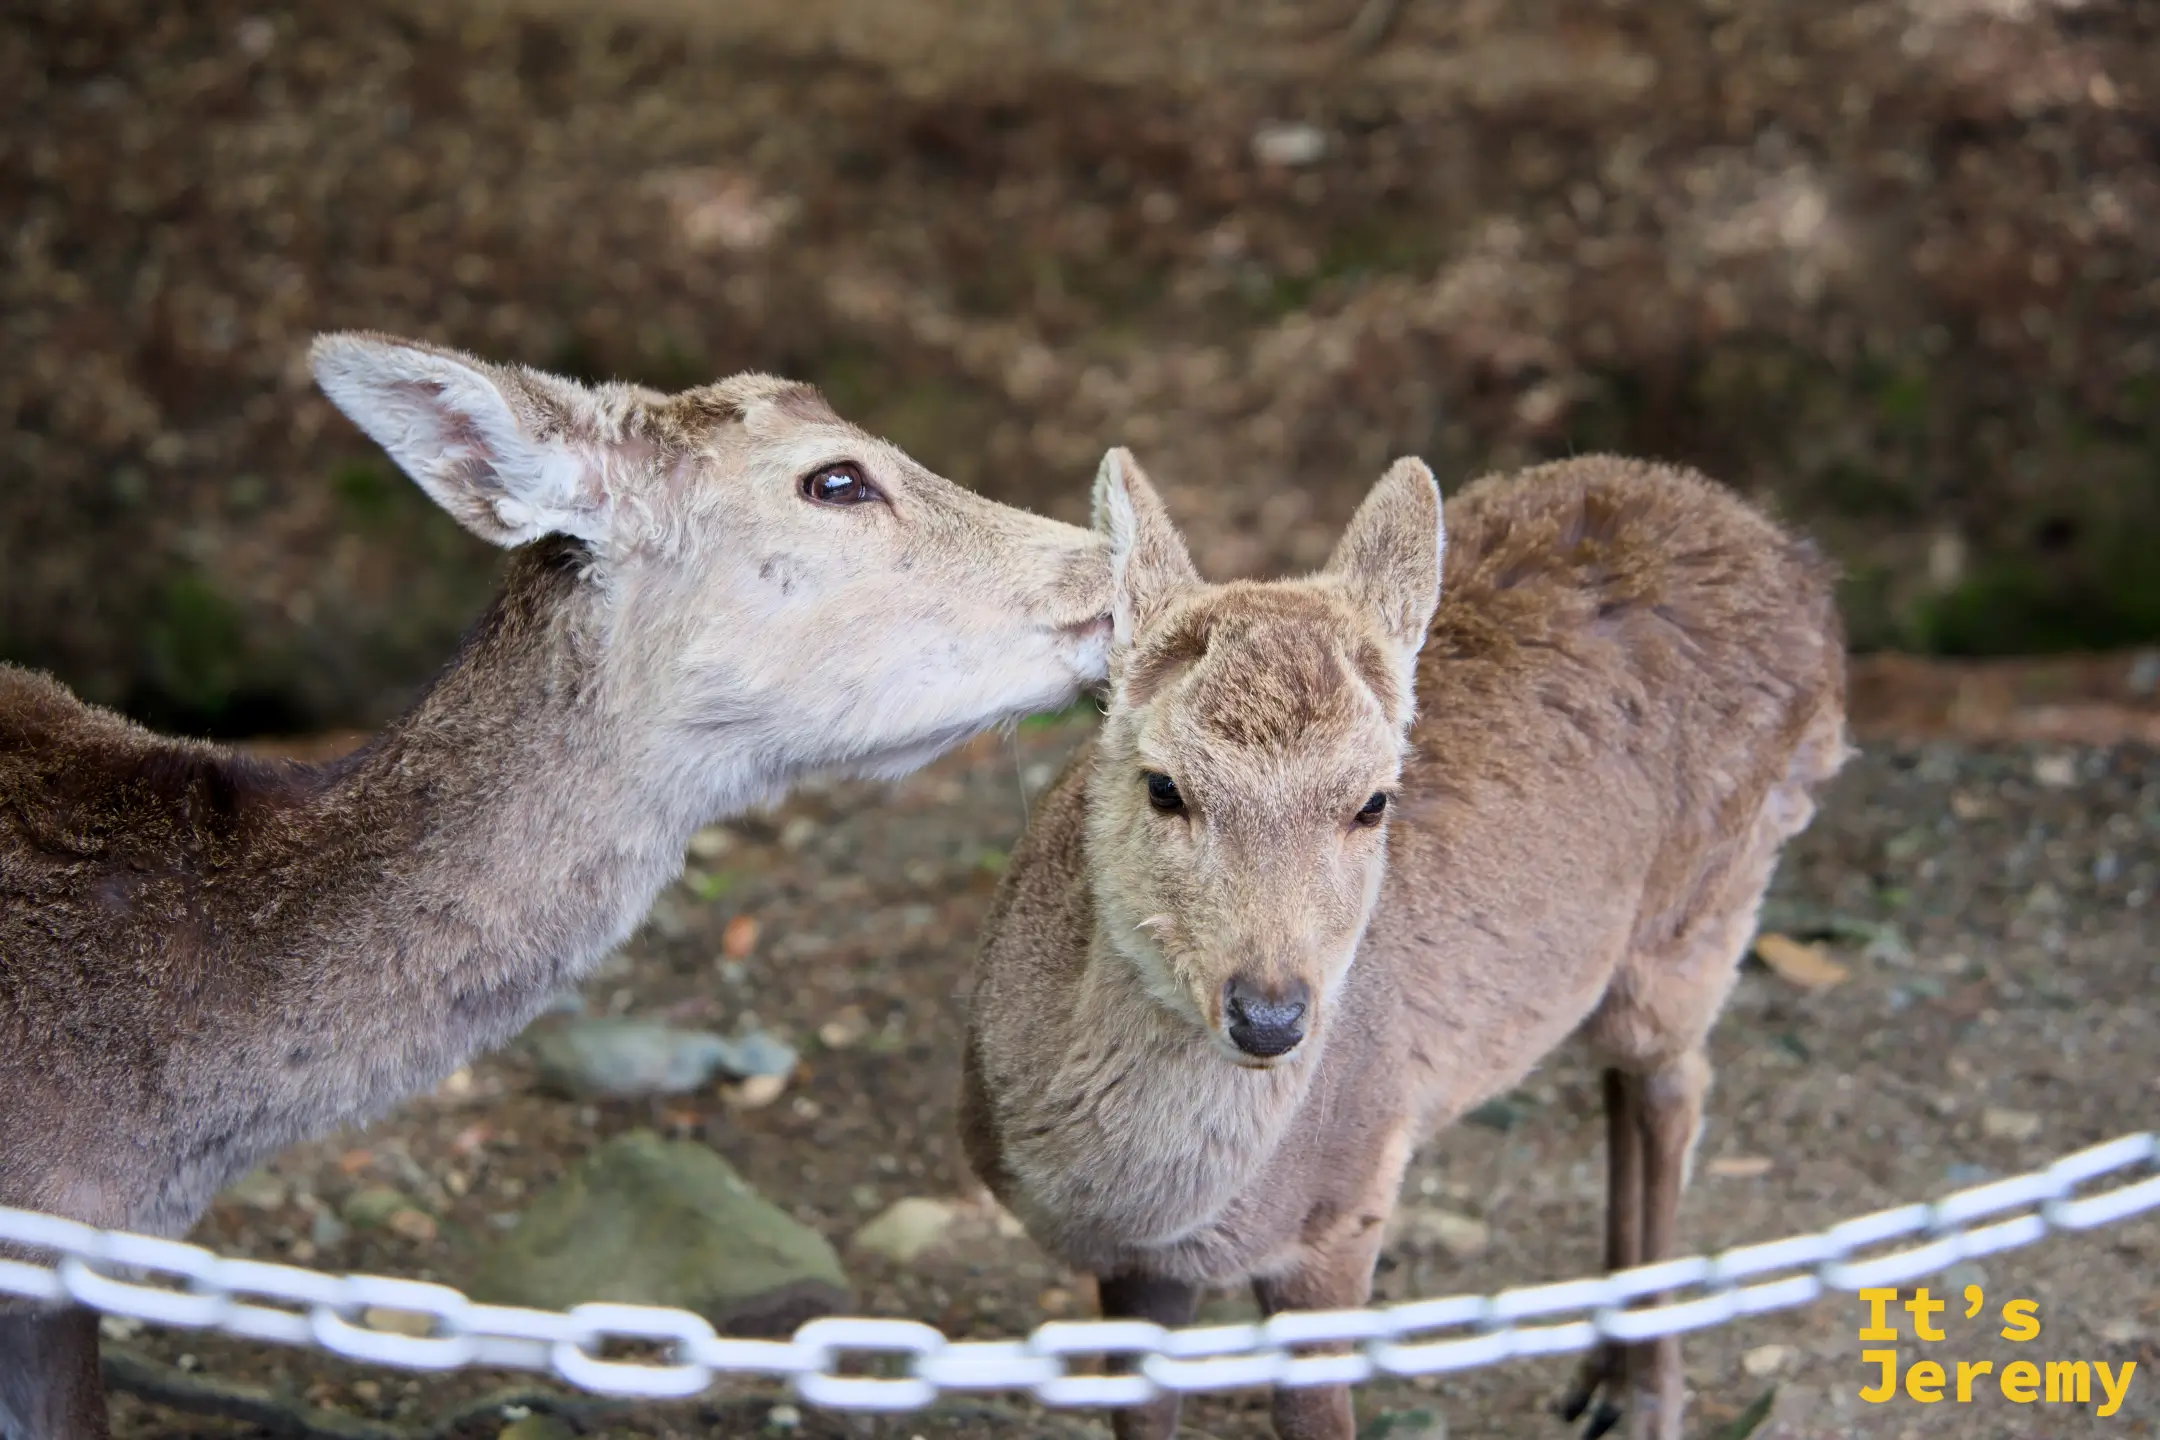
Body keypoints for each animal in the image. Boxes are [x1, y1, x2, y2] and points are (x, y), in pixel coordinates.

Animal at [960, 448, 1849, 1440]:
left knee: (1674, 1080)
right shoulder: (1138, 1273)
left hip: (1706, 907)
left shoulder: (1348, 1206)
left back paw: (1645, 1395)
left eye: (1374, 801)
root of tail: (1789, 554)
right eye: (1163, 786)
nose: (1270, 1015)